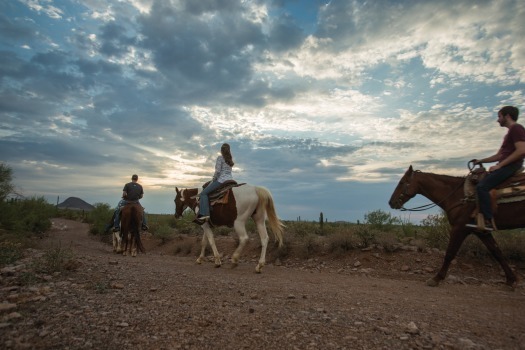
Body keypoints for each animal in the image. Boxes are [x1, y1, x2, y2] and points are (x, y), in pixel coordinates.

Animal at [388, 165, 520, 288]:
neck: (458, 196)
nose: (390, 202)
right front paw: (510, 280)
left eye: (402, 182)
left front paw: (436, 278)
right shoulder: (481, 231)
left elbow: (450, 253)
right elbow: (497, 252)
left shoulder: (459, 228)